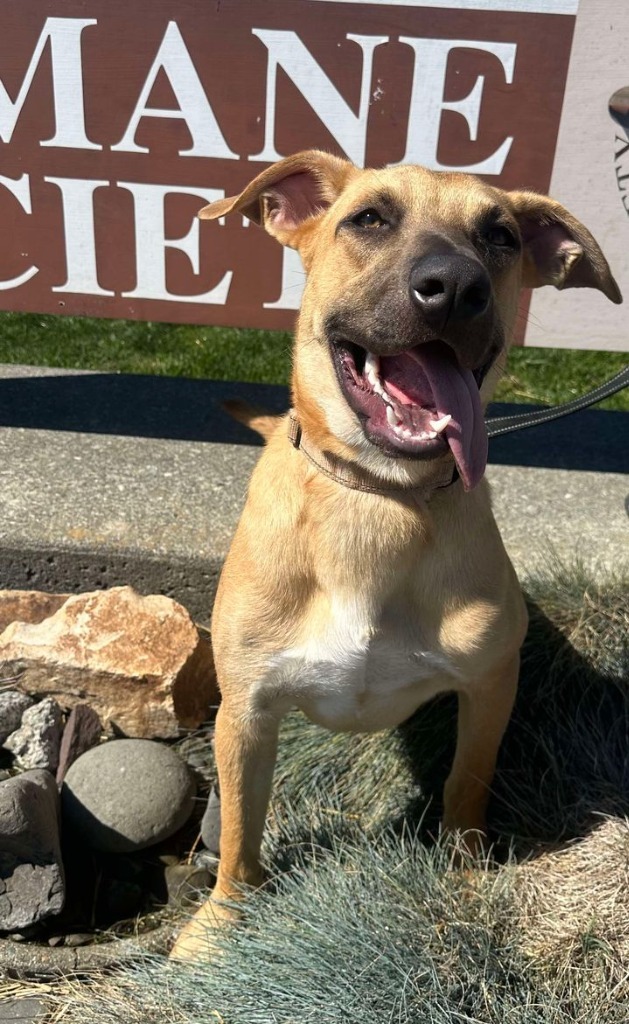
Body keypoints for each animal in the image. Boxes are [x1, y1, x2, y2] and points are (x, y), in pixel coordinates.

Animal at [170, 151, 622, 958]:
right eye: (369, 218)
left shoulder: (489, 688)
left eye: (500, 235)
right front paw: (221, 922)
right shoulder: (245, 710)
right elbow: (241, 830)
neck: (378, 502)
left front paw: (464, 874)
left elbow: (465, 787)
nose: (456, 287)